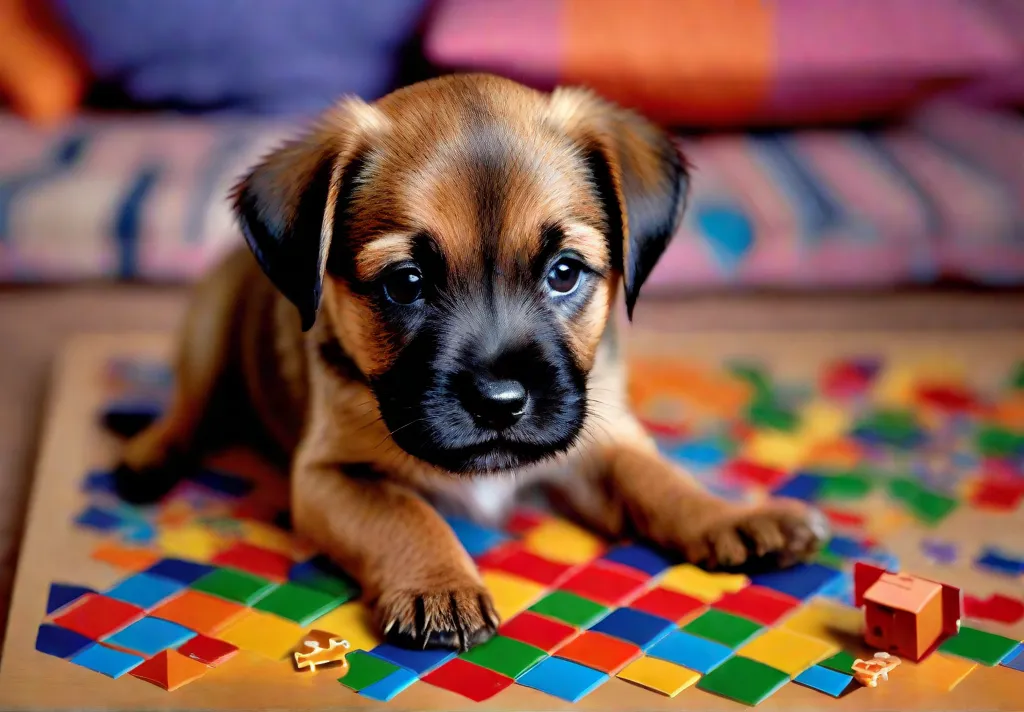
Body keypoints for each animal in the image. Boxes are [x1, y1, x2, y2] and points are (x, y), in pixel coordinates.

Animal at [116, 73, 827, 651]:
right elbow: (405, 514)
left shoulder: (598, 444)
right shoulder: (328, 475)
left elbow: (656, 479)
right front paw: (441, 585)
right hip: (205, 325)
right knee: (188, 402)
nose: (501, 404)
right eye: (404, 283)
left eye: (564, 273)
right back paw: (150, 456)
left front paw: (730, 517)